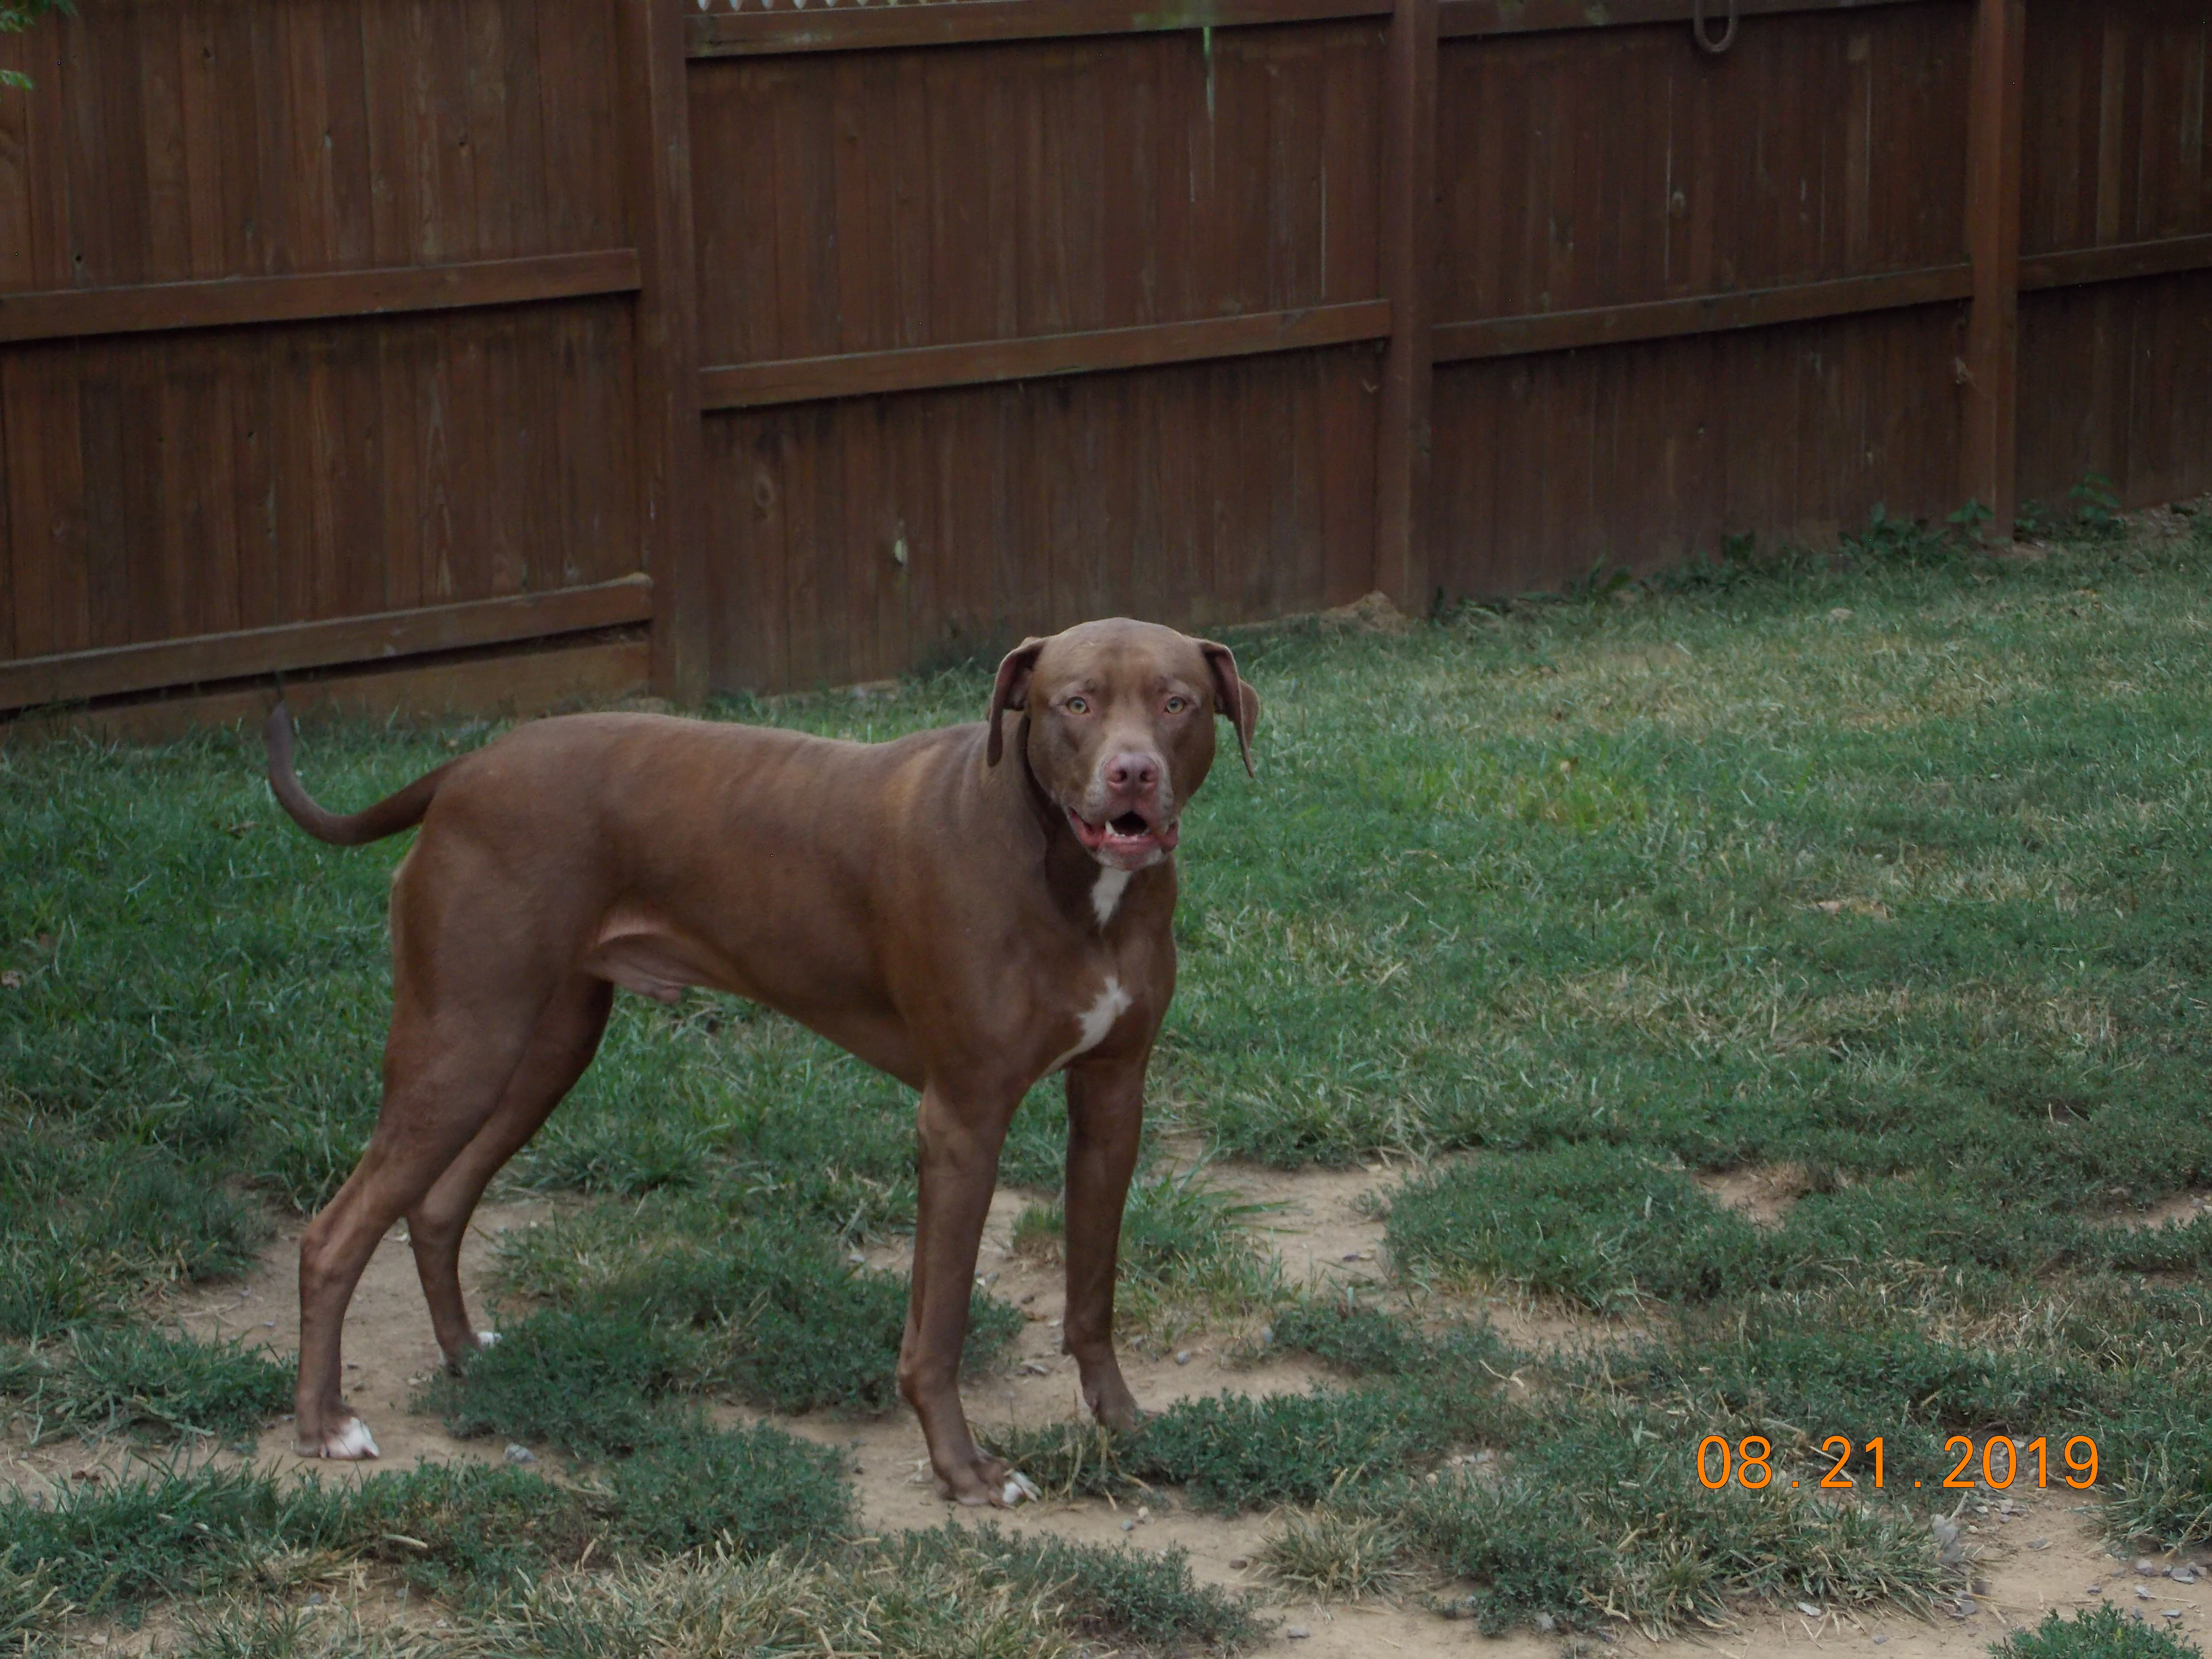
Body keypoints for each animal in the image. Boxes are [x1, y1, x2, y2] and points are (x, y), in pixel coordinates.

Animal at [267, 619, 1256, 1504]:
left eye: (1176, 703)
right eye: (1074, 703)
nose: (1133, 774)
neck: (1070, 875)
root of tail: (466, 769)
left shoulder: (1114, 1097)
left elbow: (1092, 1288)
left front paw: (1120, 1423)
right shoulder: (964, 1117)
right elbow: (939, 1323)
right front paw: (962, 1470)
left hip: (542, 1049)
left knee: (436, 1206)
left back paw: (464, 1354)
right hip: (462, 1044)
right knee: (332, 1235)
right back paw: (324, 1425)